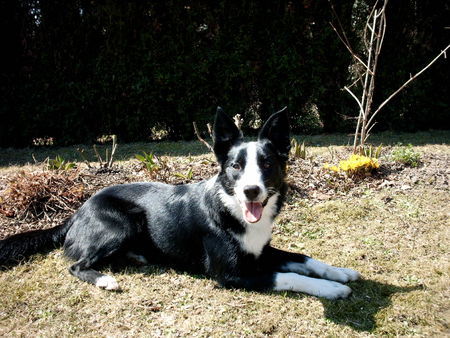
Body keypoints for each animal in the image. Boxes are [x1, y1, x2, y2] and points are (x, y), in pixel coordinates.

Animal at [0, 107, 358, 298]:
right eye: (235, 166)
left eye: (267, 163)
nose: (251, 191)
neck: (230, 208)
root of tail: (75, 213)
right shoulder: (231, 275)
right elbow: (289, 277)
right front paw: (331, 289)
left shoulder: (261, 251)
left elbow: (303, 258)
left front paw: (340, 272)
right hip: (121, 223)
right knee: (76, 265)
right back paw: (105, 279)